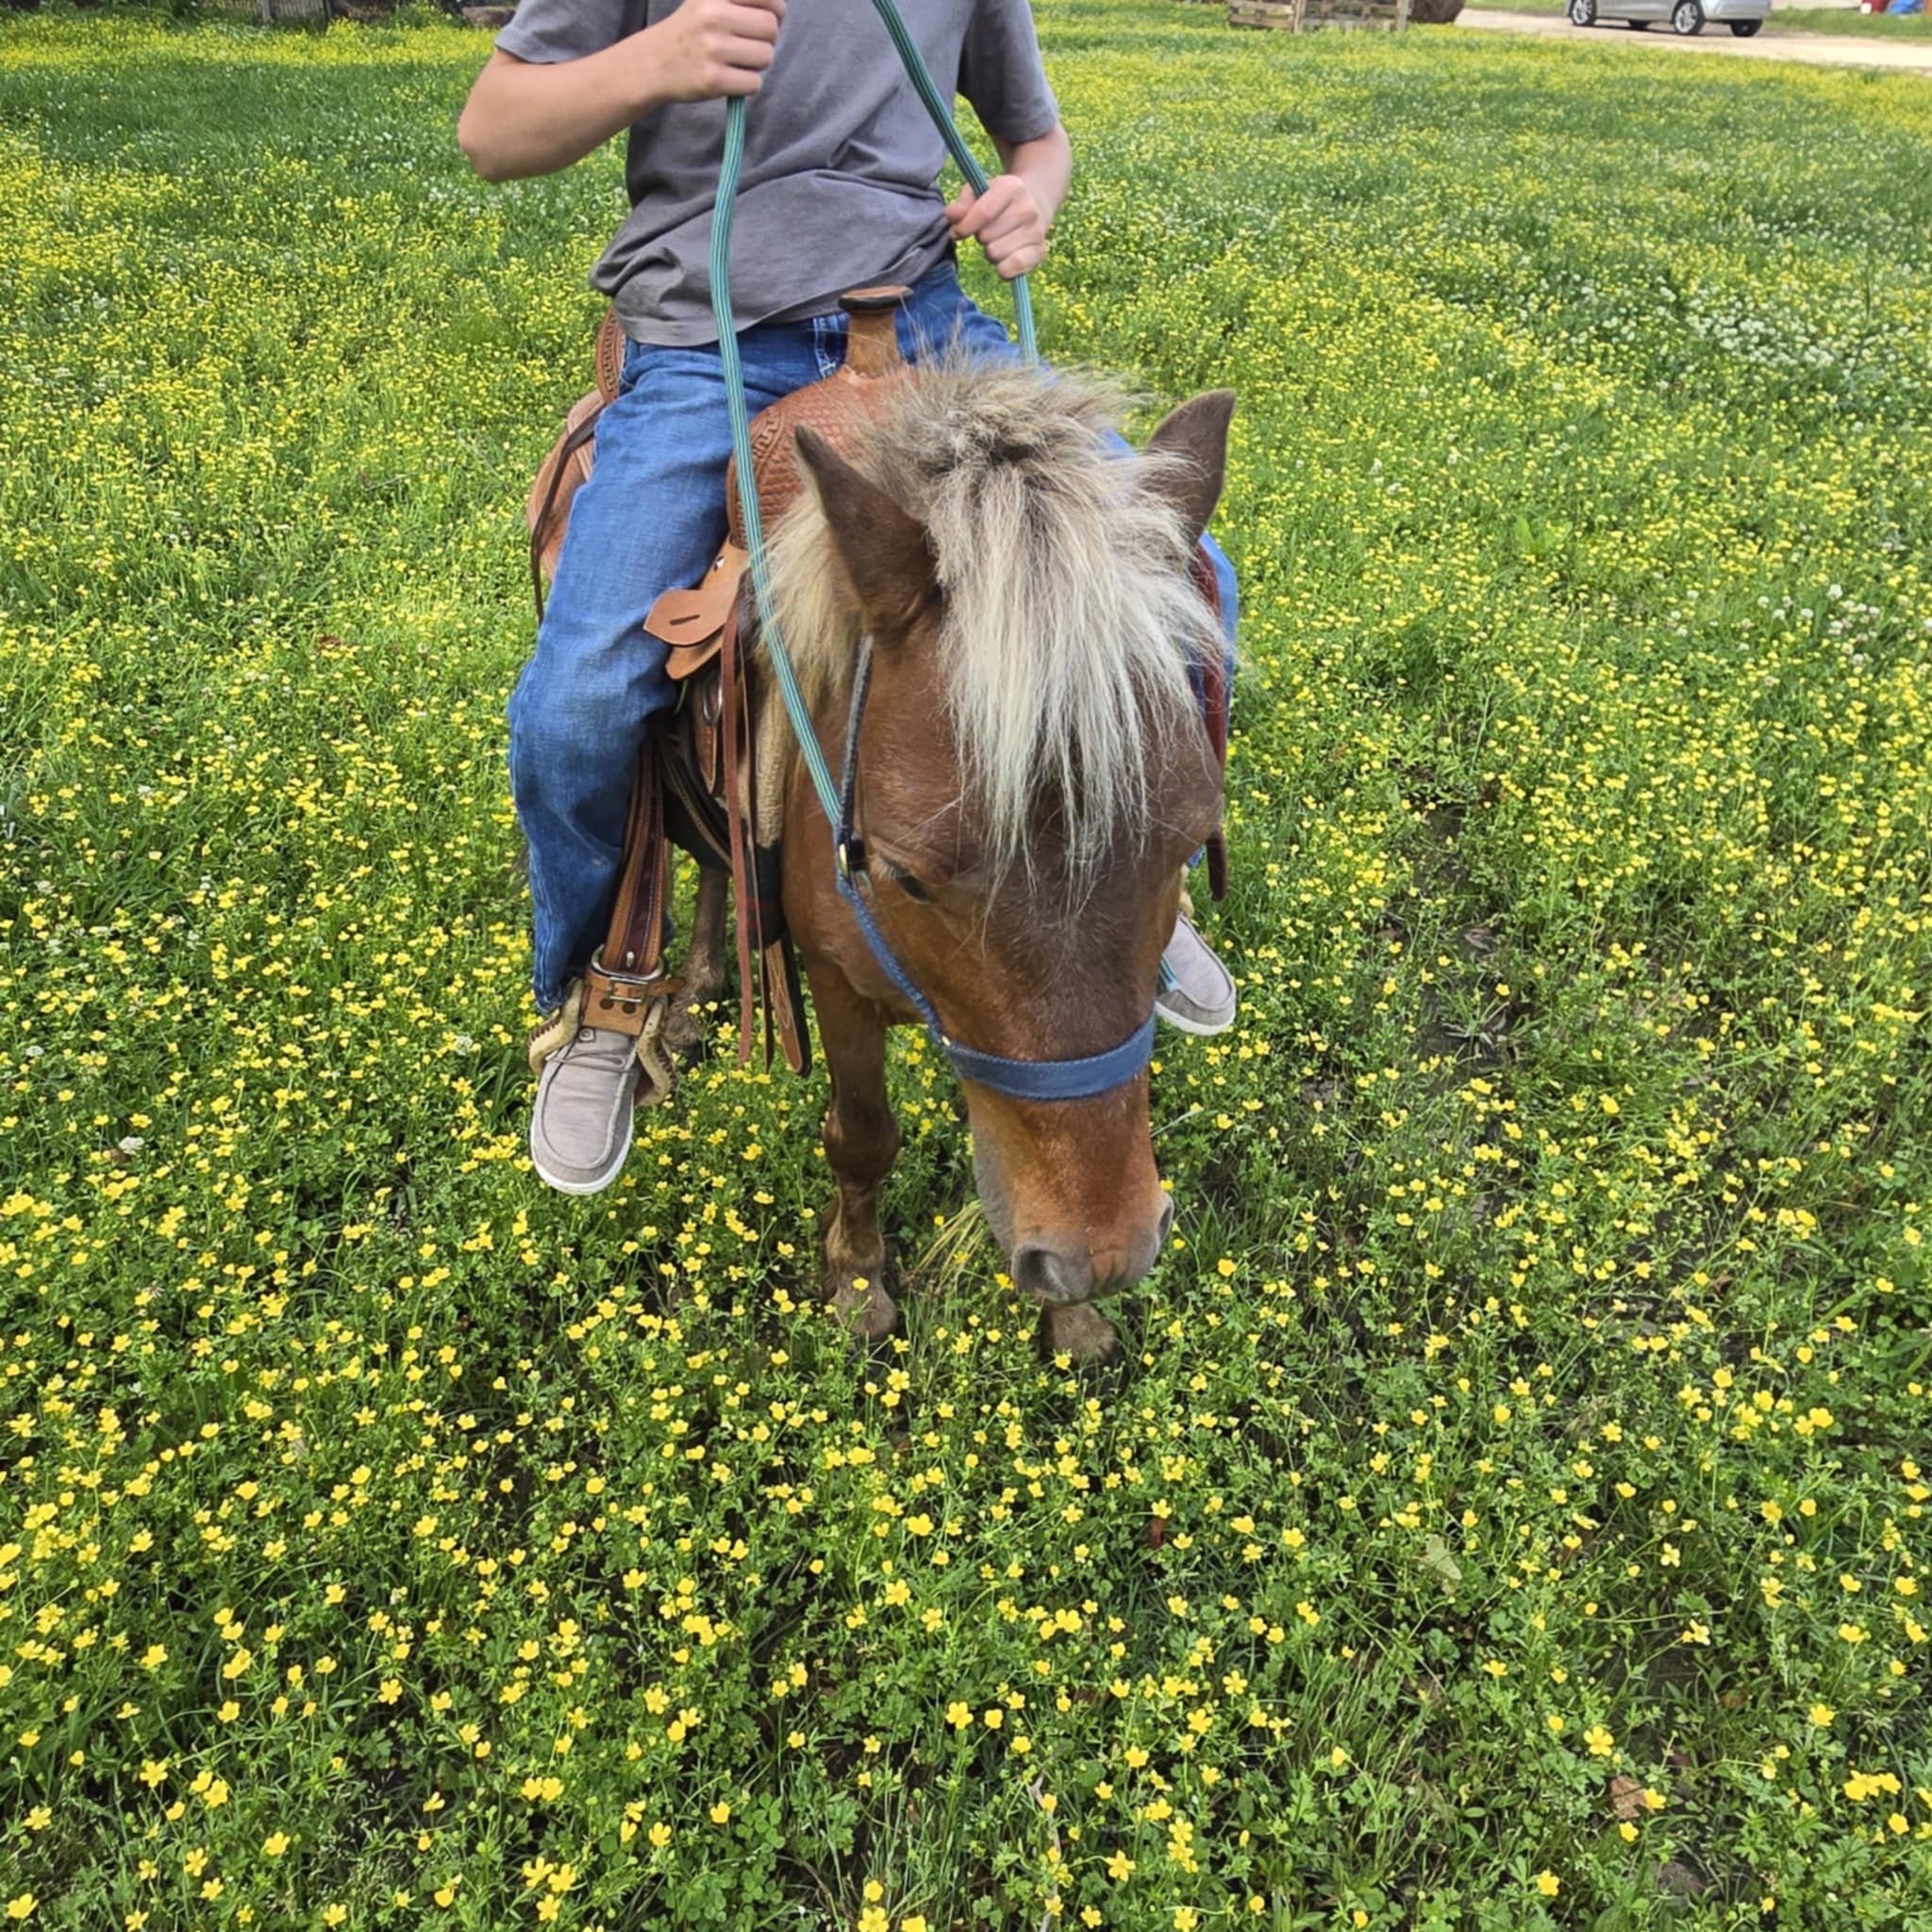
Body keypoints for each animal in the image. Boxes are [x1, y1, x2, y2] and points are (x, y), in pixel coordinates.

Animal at [669, 357, 1234, 1366]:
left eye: (1182, 844)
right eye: (906, 877)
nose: (1102, 1255)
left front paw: (1071, 1317)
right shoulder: (835, 981)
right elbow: (862, 1138)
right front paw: (858, 1281)